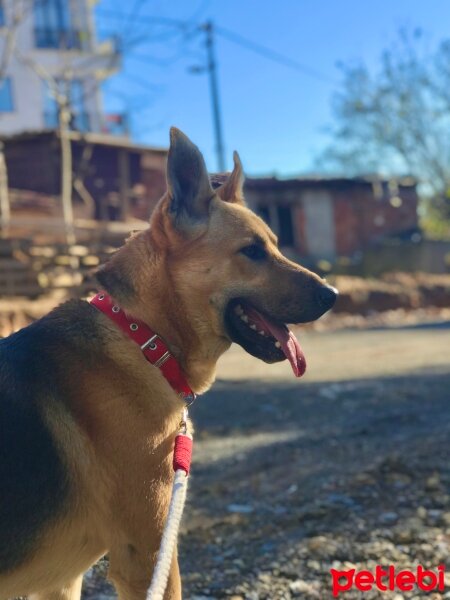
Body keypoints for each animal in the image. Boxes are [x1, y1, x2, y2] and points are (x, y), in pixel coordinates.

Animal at [0, 129, 336, 596]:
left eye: (274, 244)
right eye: (252, 251)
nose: (333, 295)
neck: (142, 338)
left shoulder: (62, 582)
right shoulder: (146, 558)